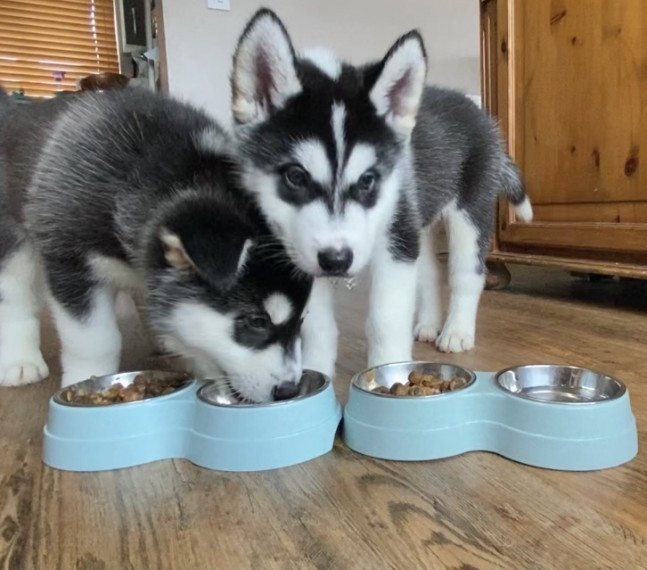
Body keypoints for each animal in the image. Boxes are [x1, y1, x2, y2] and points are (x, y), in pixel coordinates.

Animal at [0, 86, 314, 402]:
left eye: (301, 322)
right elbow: (95, 339)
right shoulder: (71, 263)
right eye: (257, 321)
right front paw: (85, 380)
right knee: (15, 297)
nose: (288, 390)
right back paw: (20, 361)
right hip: (14, 242)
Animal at [228, 8, 532, 378]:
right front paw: (317, 372)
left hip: (468, 213)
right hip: (419, 219)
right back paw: (429, 325)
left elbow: (385, 320)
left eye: (367, 180)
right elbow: (317, 325)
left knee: (466, 273)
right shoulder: (298, 248)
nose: (337, 260)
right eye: (296, 177)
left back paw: (456, 331)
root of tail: (478, 109)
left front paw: (389, 375)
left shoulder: (395, 244)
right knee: (429, 272)